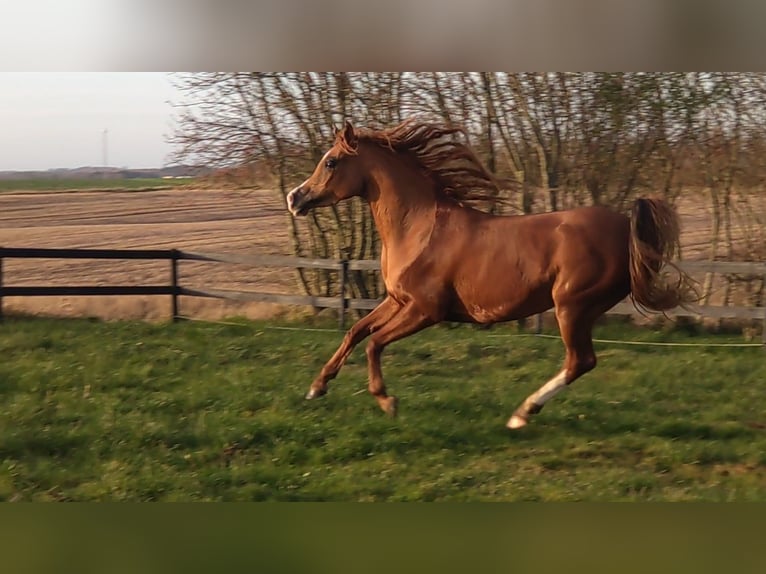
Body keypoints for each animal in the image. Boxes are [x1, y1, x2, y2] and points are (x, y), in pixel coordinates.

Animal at [288, 119, 696, 430]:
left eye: (331, 162)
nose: (295, 198)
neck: (419, 228)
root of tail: (626, 226)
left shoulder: (425, 310)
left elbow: (374, 343)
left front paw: (387, 401)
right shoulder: (398, 300)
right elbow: (355, 332)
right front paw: (316, 387)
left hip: (572, 306)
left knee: (580, 361)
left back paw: (522, 414)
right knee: (581, 361)